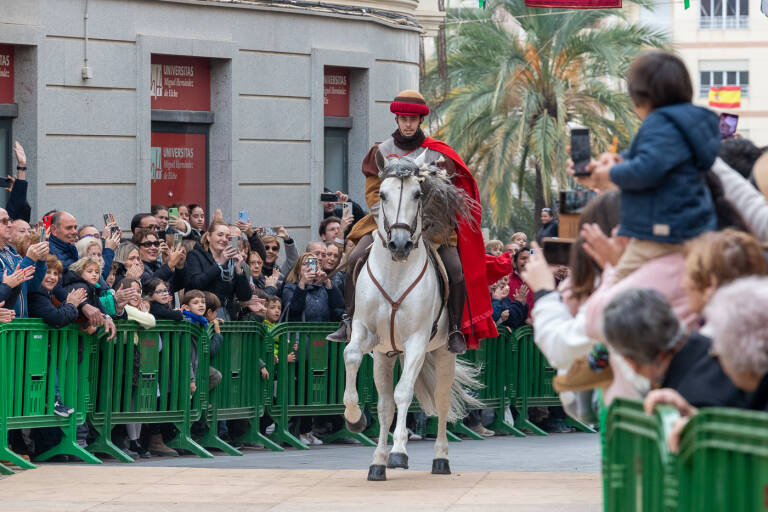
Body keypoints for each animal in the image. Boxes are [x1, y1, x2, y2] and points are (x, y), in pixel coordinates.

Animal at [342, 150, 480, 482]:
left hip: (442, 353)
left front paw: (400, 452)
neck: (395, 273)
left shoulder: (417, 342)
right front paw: (354, 418)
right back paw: (377, 462)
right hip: (386, 354)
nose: (400, 244)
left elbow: (404, 393)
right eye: (382, 194)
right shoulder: (365, 333)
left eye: (418, 194)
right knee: (384, 406)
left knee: (441, 400)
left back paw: (440, 459)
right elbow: (351, 357)